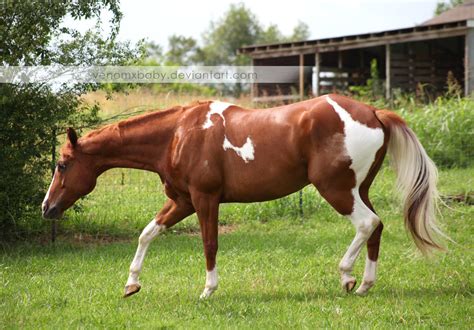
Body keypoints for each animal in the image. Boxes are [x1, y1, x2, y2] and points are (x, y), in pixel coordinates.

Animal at [41, 94, 444, 298]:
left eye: (62, 164)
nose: (47, 208)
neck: (177, 134)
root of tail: (373, 112)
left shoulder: (204, 199)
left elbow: (209, 243)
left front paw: (208, 290)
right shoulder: (182, 201)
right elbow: (147, 233)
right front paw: (131, 283)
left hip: (336, 190)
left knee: (367, 223)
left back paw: (346, 276)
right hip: (357, 189)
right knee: (376, 227)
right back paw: (364, 285)